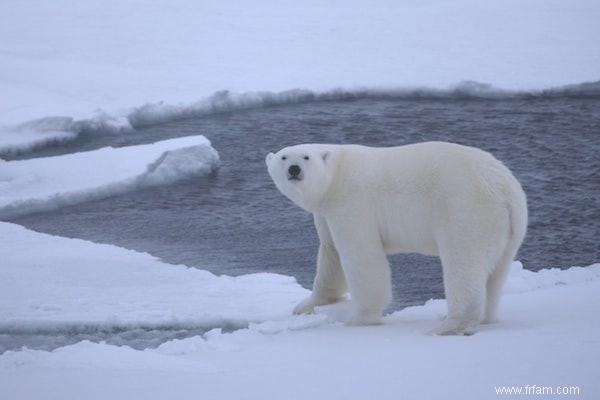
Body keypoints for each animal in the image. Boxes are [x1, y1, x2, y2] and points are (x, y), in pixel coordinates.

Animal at [266, 141, 524, 334]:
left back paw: (449, 325)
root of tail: (504, 188)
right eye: (284, 157)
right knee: (496, 272)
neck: (336, 175)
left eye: (306, 157)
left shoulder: (352, 201)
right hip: (507, 228)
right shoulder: (325, 212)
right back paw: (483, 317)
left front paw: (360, 318)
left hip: (466, 210)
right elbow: (331, 254)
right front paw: (306, 305)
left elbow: (360, 255)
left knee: (464, 263)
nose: (294, 169)